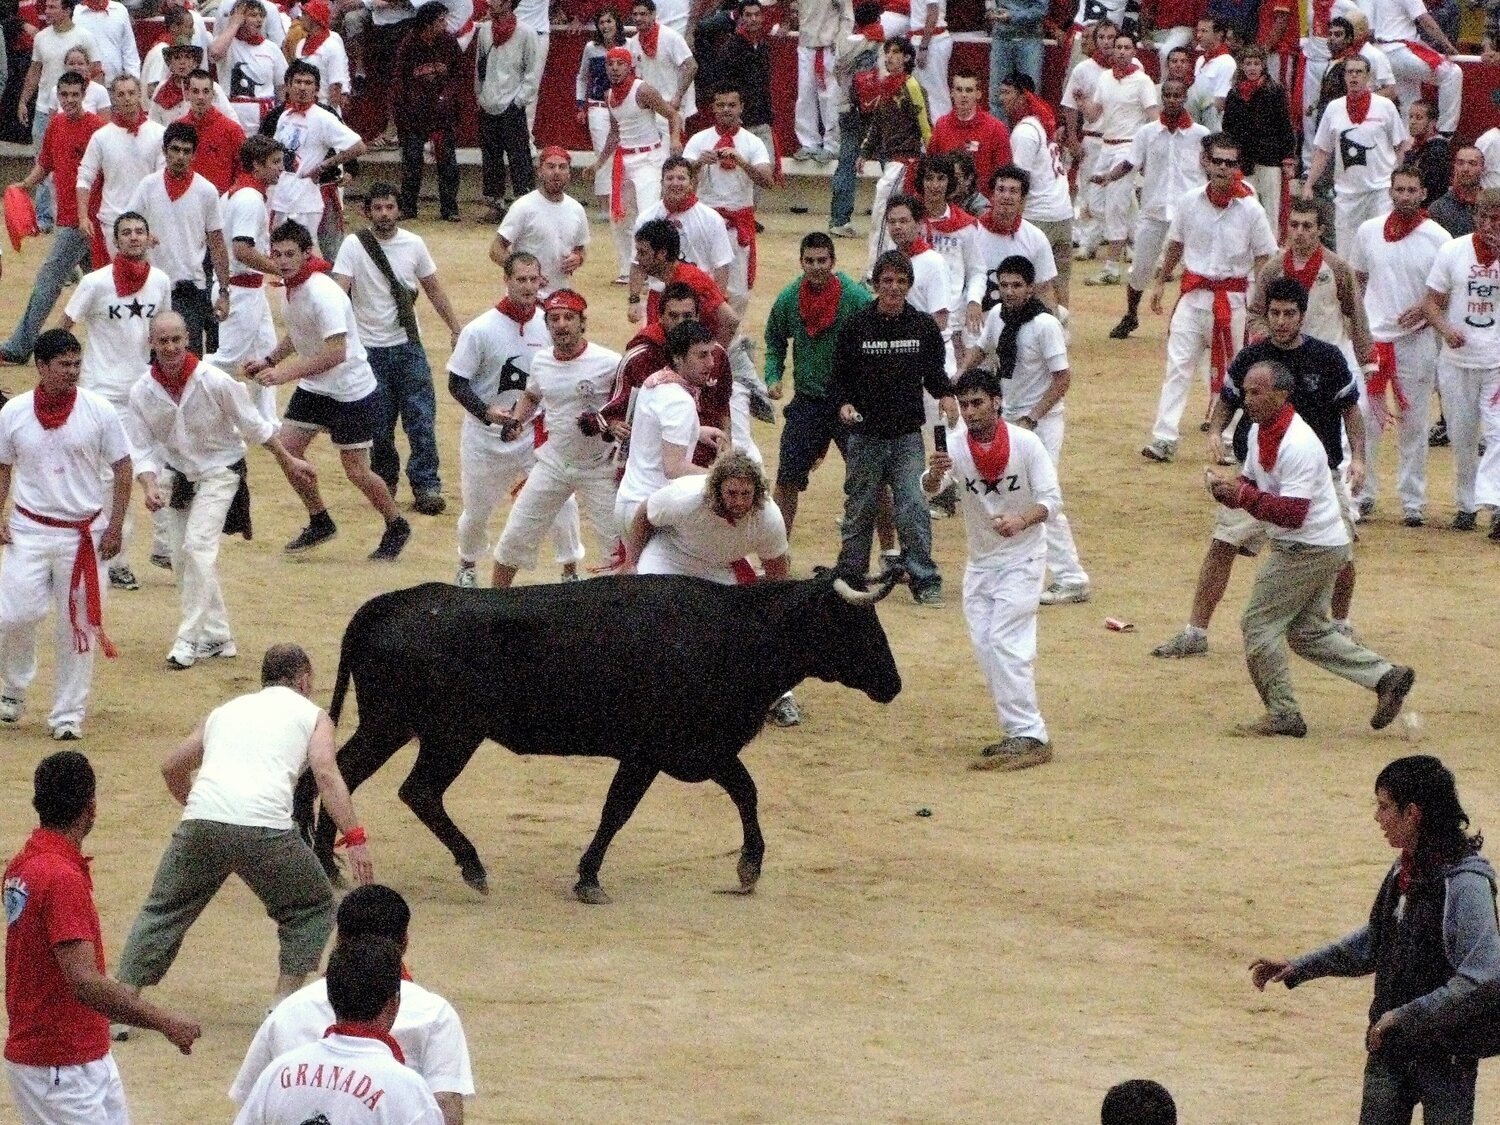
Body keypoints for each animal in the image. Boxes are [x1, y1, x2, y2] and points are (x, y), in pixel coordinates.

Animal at [292, 573, 900, 906]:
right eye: (857, 624)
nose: (893, 684)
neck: (735, 632)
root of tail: (391, 603)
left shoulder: (699, 751)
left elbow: (745, 792)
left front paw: (748, 869)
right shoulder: (654, 751)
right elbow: (618, 811)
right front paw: (589, 879)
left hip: (393, 725)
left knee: (336, 774)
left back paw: (329, 867)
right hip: (447, 734)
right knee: (415, 791)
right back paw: (472, 868)